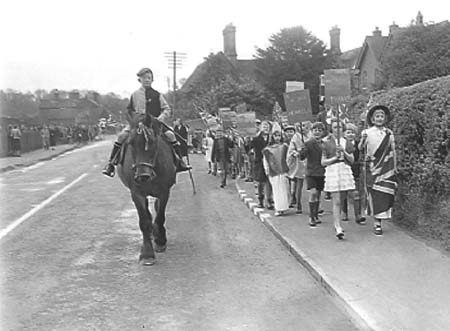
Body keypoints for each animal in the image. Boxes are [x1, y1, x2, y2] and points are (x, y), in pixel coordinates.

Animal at [116, 114, 176, 268]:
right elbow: (144, 221)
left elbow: (160, 216)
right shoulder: (137, 194)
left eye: (153, 142)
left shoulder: (164, 191)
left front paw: (160, 240)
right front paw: (147, 254)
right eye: (131, 143)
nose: (143, 175)